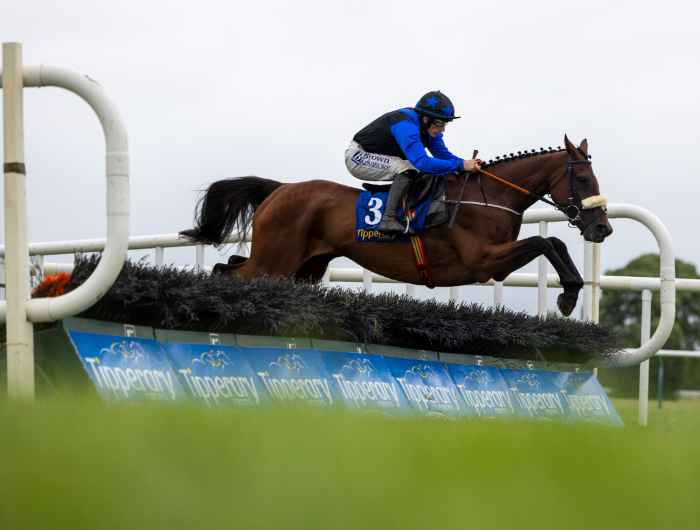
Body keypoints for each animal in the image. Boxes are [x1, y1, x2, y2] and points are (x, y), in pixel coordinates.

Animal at [180, 136, 612, 316]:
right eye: (584, 179)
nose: (602, 229)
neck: (489, 196)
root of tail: (280, 189)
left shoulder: (493, 262)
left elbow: (554, 244)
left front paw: (570, 293)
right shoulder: (483, 261)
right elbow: (548, 242)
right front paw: (568, 296)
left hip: (303, 266)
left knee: (231, 267)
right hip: (277, 258)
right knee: (227, 272)